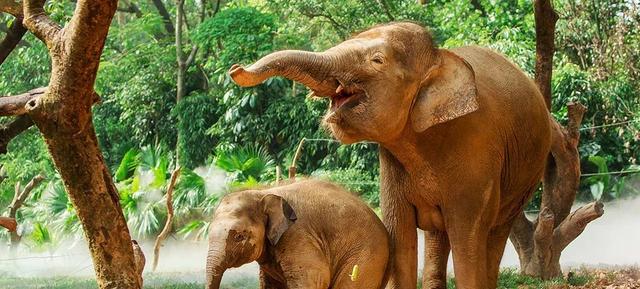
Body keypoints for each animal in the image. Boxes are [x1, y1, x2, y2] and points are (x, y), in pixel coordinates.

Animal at [229, 21, 552, 286]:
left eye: (377, 60)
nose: (235, 69)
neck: (439, 59)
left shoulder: (477, 147)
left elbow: (467, 237)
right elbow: (400, 234)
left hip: (525, 177)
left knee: (494, 233)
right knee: (438, 236)